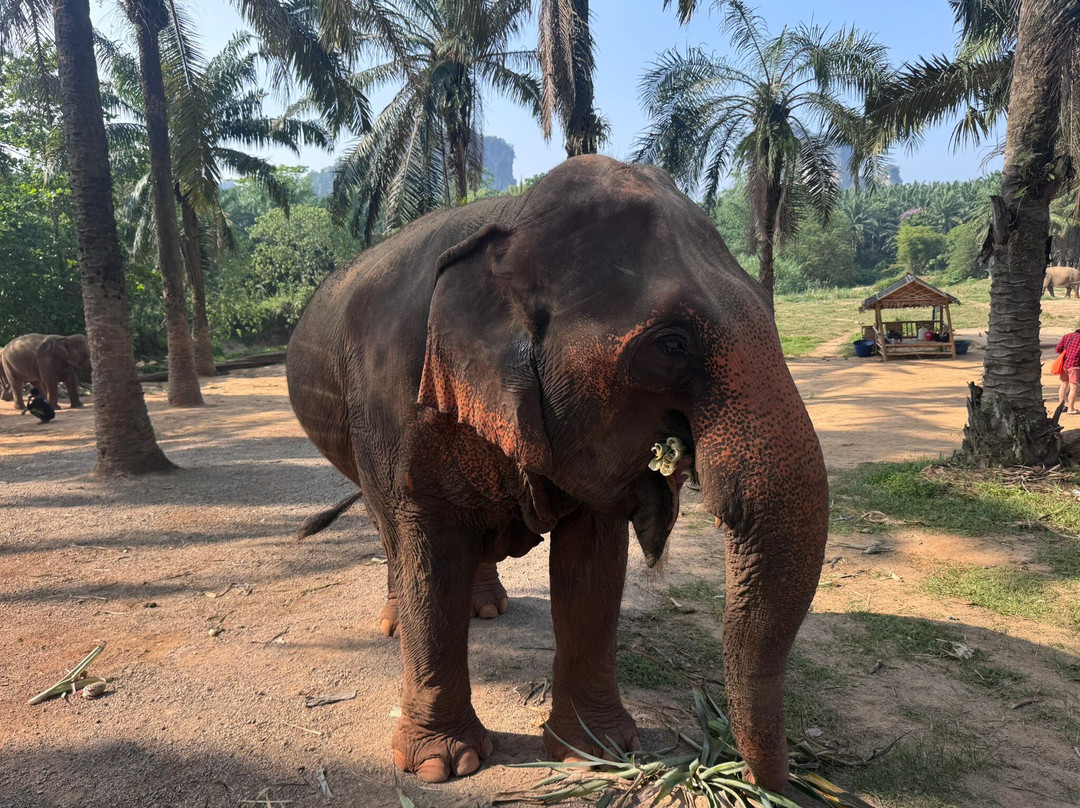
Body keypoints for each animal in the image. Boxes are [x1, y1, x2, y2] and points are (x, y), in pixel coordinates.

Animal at [286, 156, 828, 791]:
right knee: (388, 526)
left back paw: (485, 609)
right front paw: (443, 765)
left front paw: (597, 753)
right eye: (671, 344)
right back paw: (398, 622)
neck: (511, 223)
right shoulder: (395, 405)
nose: (759, 781)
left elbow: (592, 567)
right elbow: (426, 546)